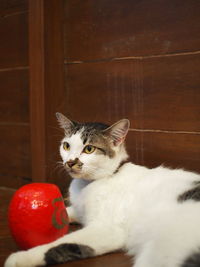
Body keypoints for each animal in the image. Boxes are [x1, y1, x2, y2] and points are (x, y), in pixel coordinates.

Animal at [4, 112, 200, 266]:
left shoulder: (107, 229)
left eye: (89, 149)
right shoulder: (80, 210)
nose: (70, 162)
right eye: (66, 146)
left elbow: (62, 243)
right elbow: (66, 212)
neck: (88, 185)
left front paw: (21, 258)